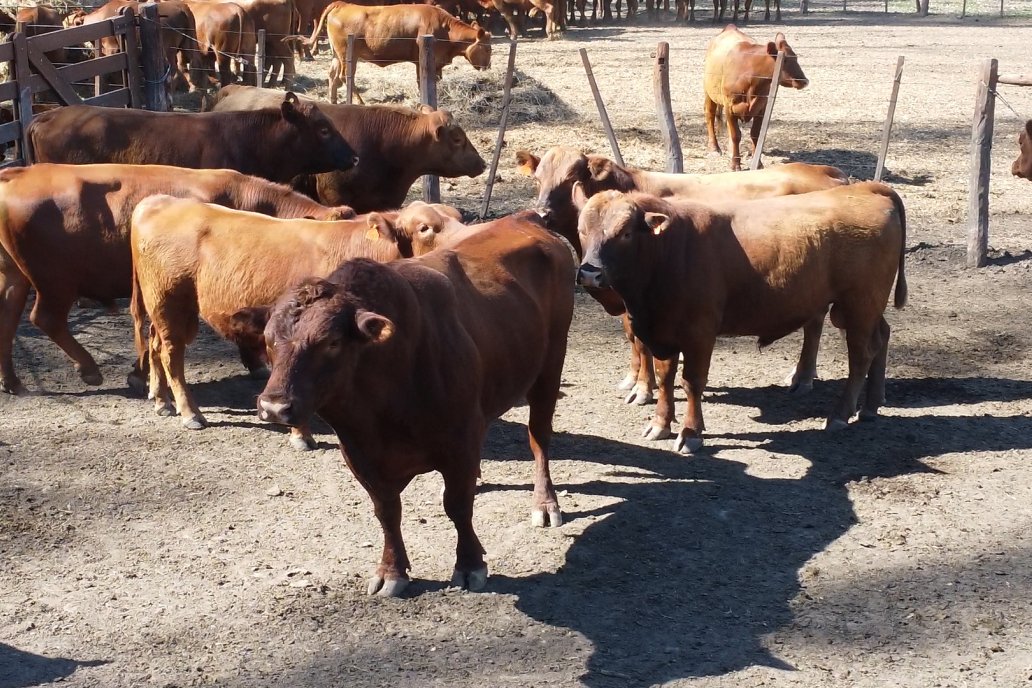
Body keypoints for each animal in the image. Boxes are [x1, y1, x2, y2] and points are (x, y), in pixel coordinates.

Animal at [249, 216, 573, 598]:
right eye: (269, 339)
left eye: (331, 342)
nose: (274, 406)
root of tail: (524, 218)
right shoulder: (359, 453)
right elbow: (387, 511)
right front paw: (391, 571)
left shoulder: (461, 440)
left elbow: (458, 505)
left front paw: (469, 565)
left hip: (550, 367)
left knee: (539, 438)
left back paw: (545, 503)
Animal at [301, 2, 491, 103]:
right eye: (488, 48)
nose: (488, 66)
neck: (445, 29)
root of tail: (342, 4)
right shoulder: (424, 61)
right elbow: (422, 81)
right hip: (348, 55)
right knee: (344, 77)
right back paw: (360, 102)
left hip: (337, 56)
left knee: (333, 76)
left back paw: (332, 100)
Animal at [705, 26, 809, 172]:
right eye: (785, 60)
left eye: (796, 57)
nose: (804, 81)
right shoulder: (729, 107)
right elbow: (736, 135)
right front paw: (735, 164)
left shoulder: (762, 107)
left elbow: (755, 133)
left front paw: (758, 163)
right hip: (709, 93)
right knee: (710, 116)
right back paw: (714, 147)